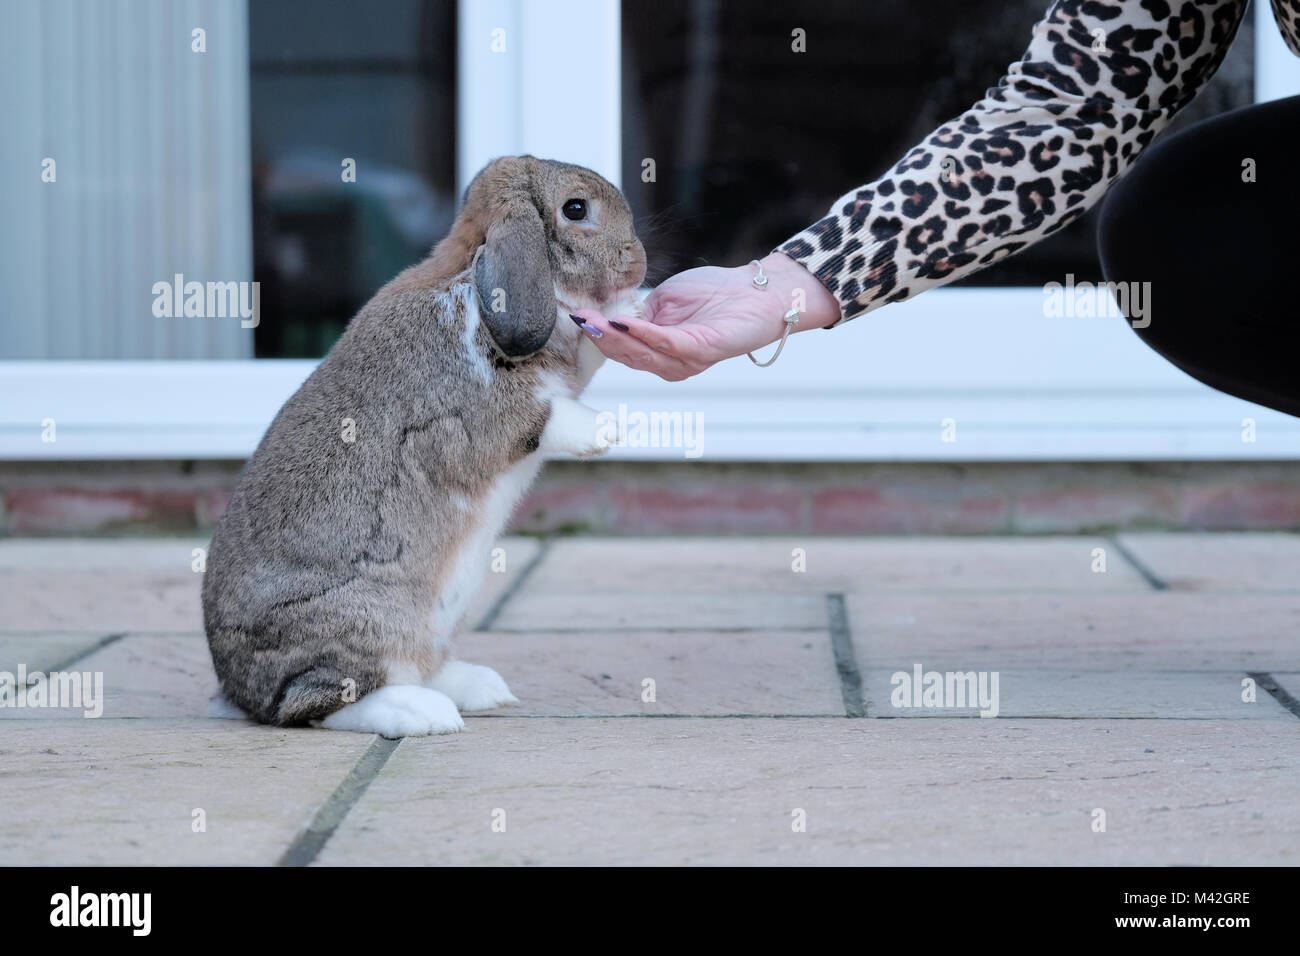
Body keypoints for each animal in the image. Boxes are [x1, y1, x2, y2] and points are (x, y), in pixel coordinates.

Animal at [202, 157, 644, 738]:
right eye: (576, 209)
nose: (638, 264)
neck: (472, 280)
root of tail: (238, 691)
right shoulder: (471, 416)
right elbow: (541, 416)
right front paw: (607, 429)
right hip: (367, 627)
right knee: (315, 703)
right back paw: (423, 714)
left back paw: (481, 688)